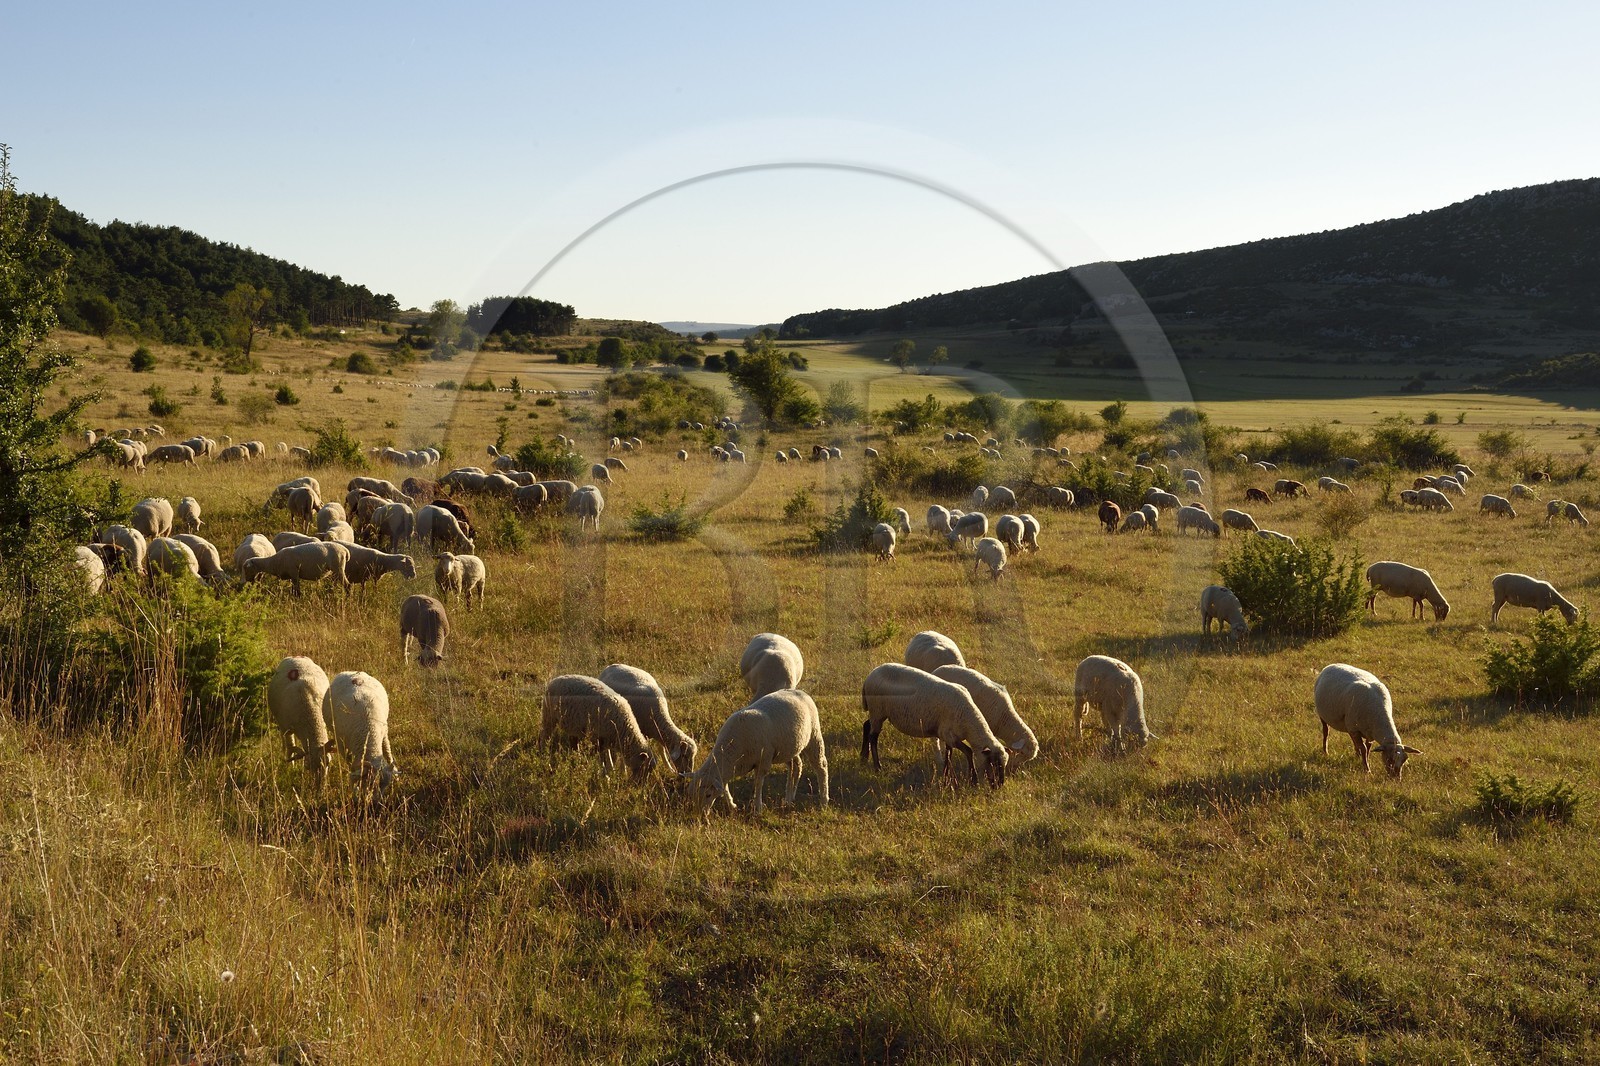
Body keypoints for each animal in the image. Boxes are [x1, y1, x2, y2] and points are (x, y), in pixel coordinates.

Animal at [269, 657, 332, 786]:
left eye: (328, 762)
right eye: (308, 767)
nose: (320, 787)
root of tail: (295, 657)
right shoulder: (286, 729)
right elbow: (290, 748)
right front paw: (290, 769)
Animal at [688, 688, 827, 817]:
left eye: (708, 794)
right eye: (692, 794)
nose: (700, 814)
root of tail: (800, 691)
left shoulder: (763, 760)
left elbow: (758, 784)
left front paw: (758, 808)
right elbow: (725, 786)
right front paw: (732, 805)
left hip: (814, 735)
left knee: (821, 767)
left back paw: (824, 801)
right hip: (788, 747)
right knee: (796, 765)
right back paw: (789, 798)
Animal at [861, 663, 1008, 787]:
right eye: (993, 763)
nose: (999, 785)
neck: (969, 723)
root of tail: (870, 675)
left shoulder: (947, 736)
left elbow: (948, 755)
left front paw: (946, 778)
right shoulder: (949, 735)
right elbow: (968, 751)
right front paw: (973, 779)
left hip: (877, 713)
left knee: (867, 725)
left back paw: (864, 756)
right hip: (877, 710)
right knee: (873, 737)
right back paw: (877, 766)